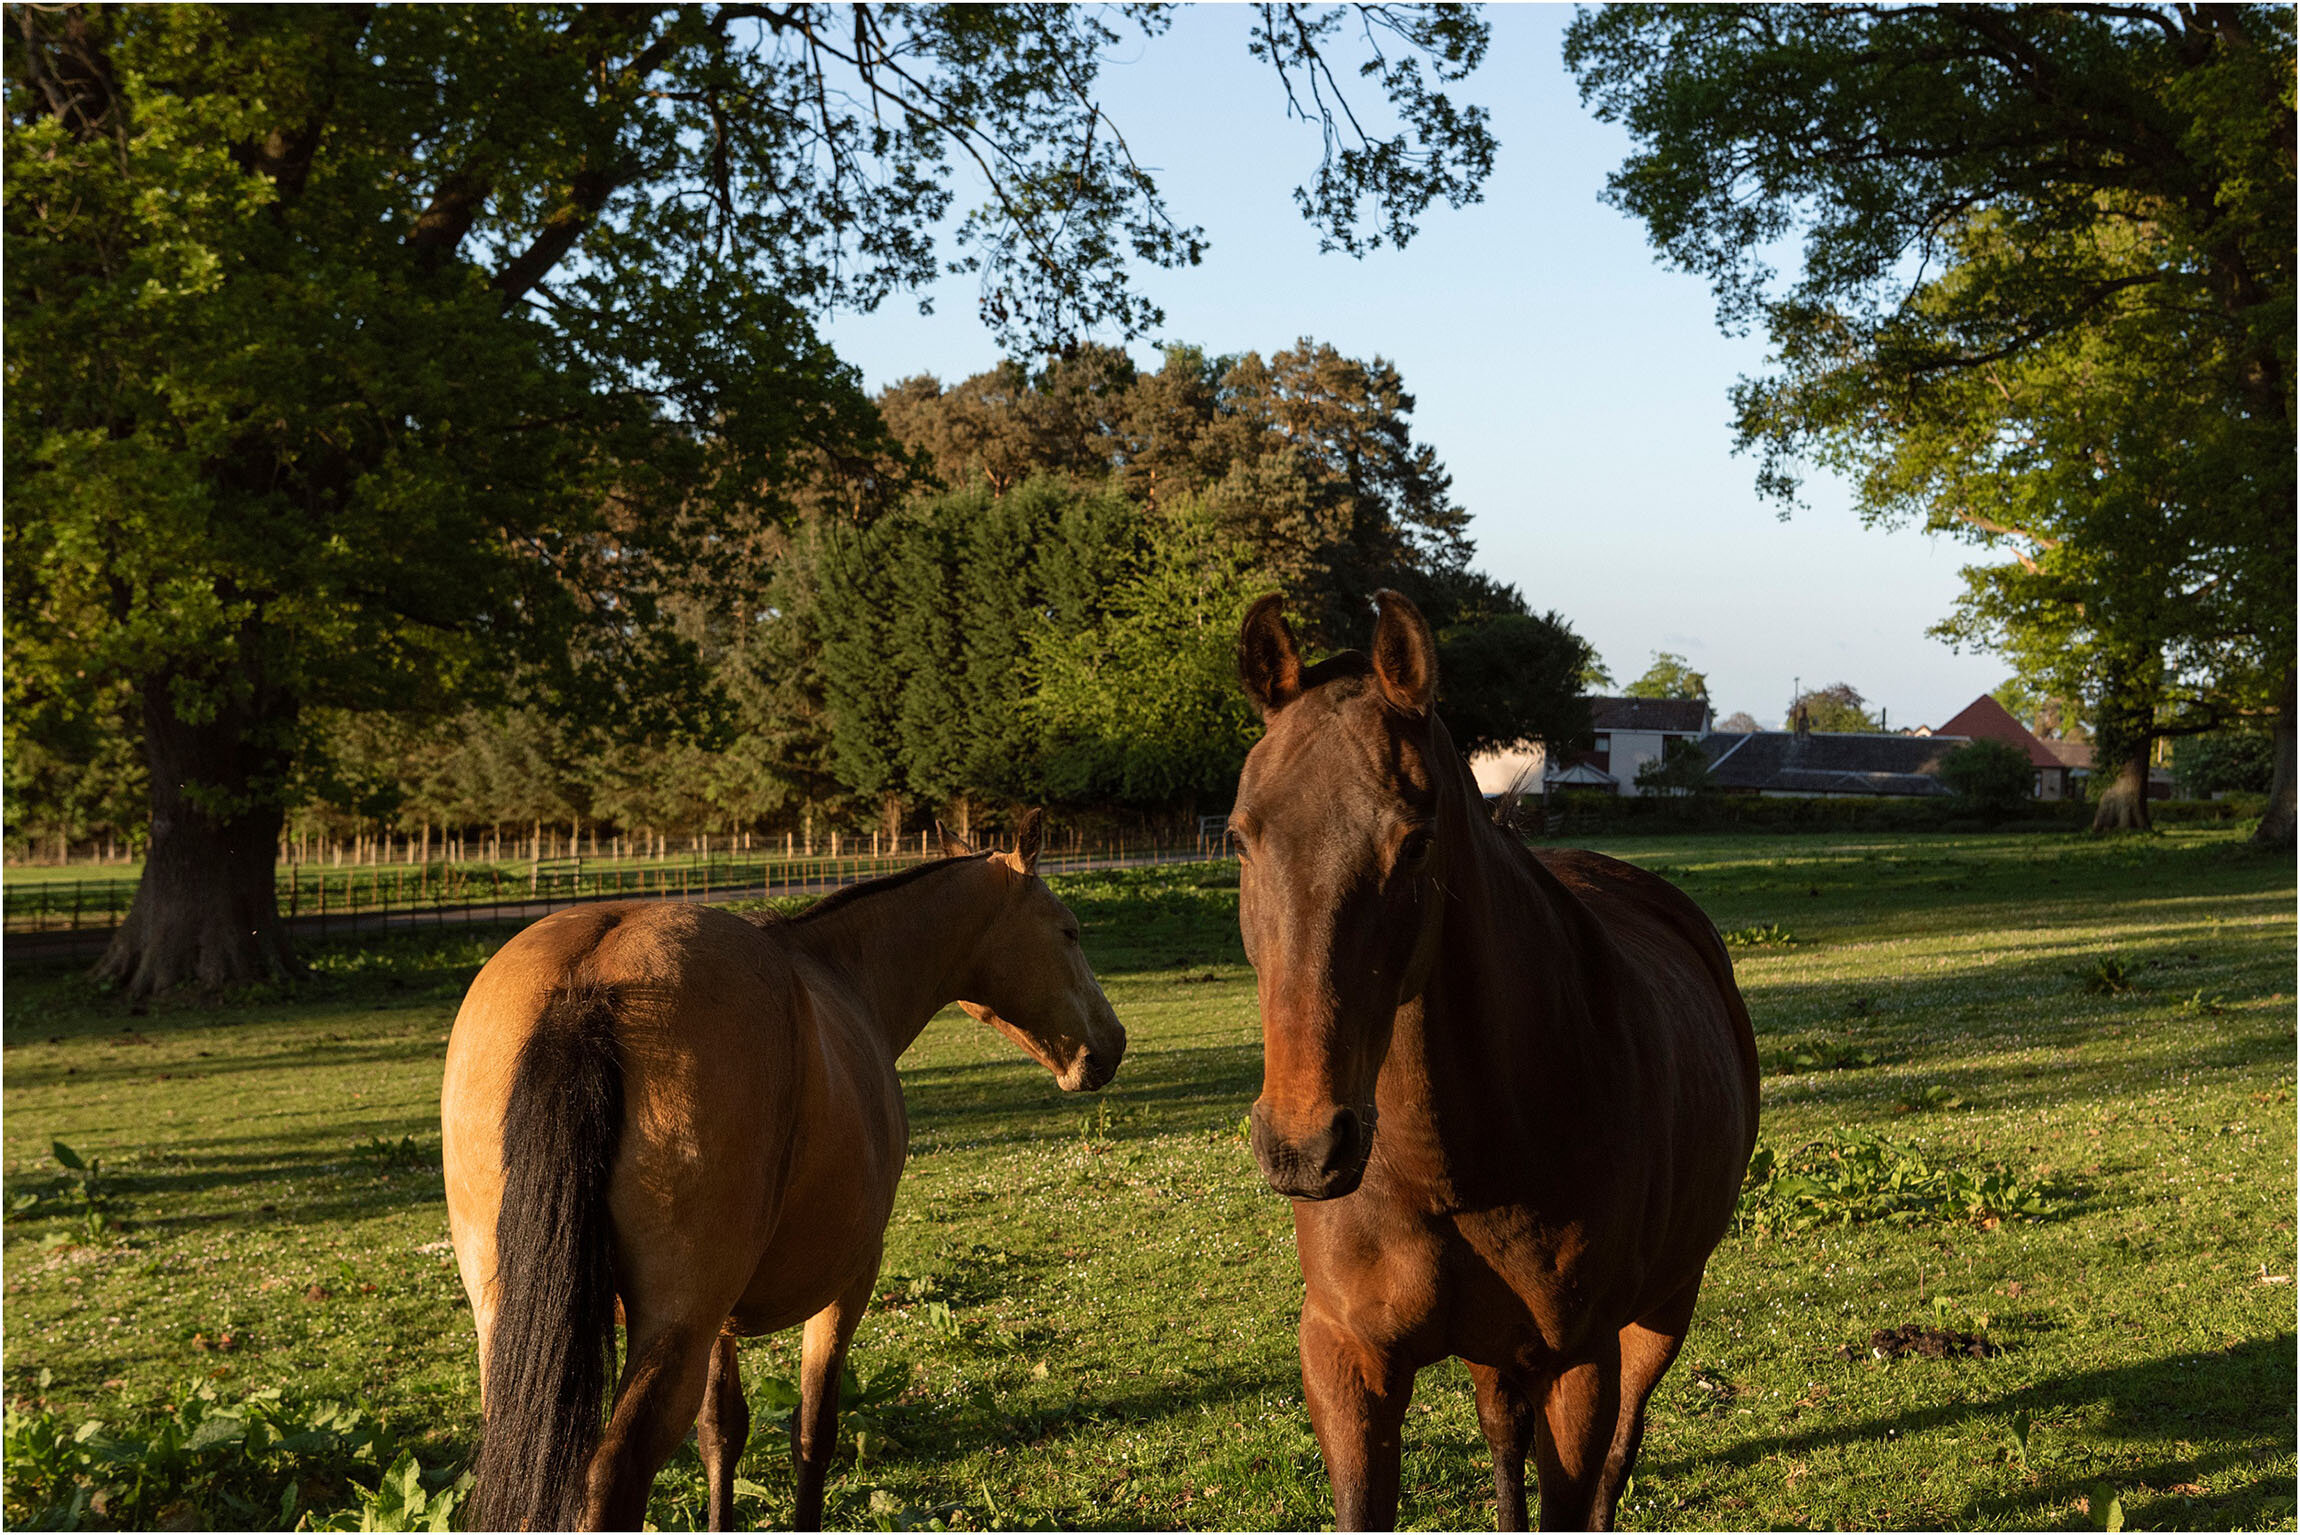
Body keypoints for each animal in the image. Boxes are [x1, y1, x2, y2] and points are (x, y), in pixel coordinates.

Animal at [439, 810, 1122, 1528]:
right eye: (1069, 930)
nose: (1111, 1044)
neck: (844, 974)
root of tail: (591, 979)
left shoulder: (721, 1325)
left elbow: (722, 1432)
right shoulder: (850, 1280)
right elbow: (814, 1429)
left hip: (516, 1333)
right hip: (672, 1331)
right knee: (610, 1475)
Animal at [1242, 593, 1757, 1528]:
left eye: (1414, 844)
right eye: (1239, 839)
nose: (1303, 1145)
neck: (1445, 1168)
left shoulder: (1577, 1362)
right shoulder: (1346, 1357)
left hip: (1665, 1309)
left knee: (1621, 1451)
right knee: (1501, 1435)